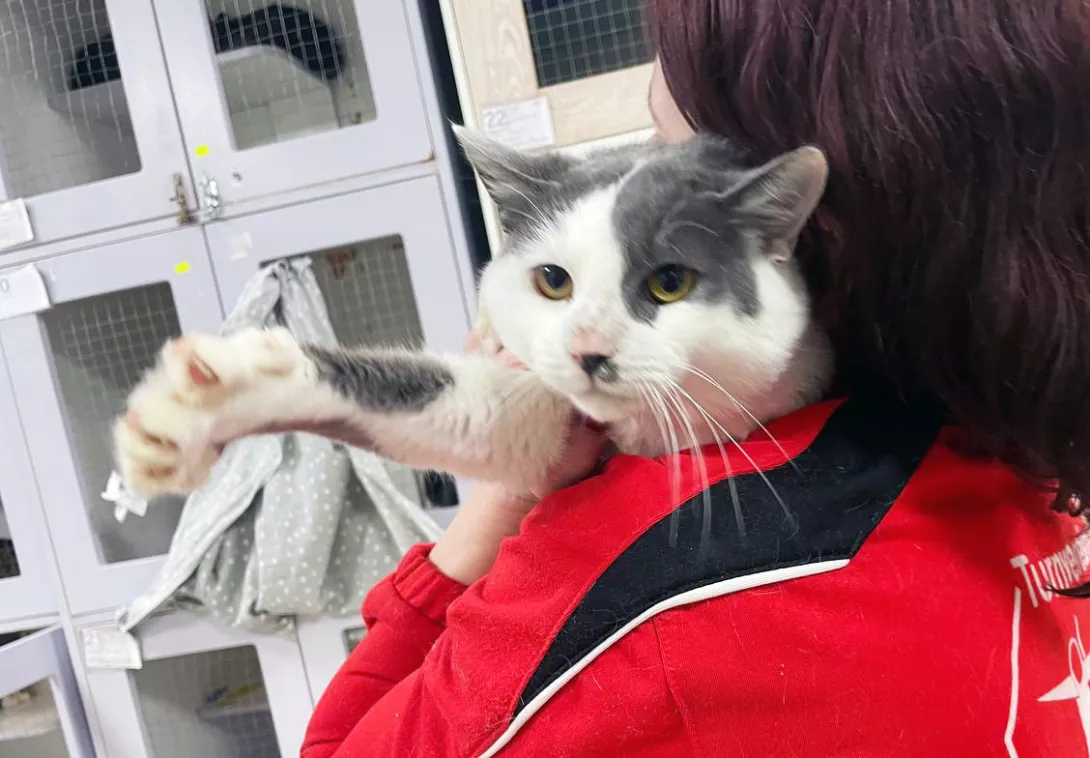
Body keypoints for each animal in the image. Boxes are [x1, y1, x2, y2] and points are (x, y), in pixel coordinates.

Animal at [112, 128, 833, 502]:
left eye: (670, 283)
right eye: (552, 281)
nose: (587, 349)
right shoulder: (540, 409)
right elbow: (461, 408)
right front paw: (206, 404)